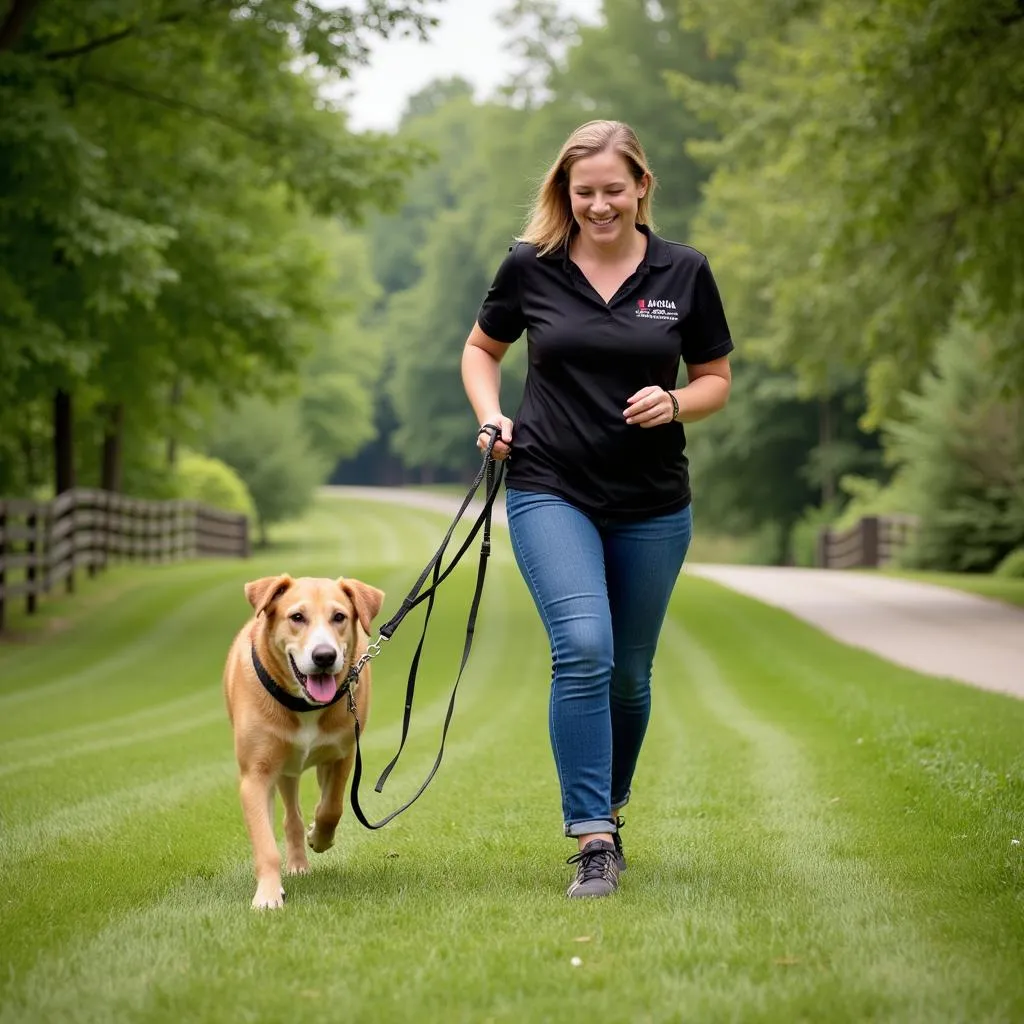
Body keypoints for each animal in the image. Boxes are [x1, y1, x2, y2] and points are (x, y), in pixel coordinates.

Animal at [223, 573, 385, 909]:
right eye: (297, 617)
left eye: (339, 617)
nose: (324, 656)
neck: (304, 705)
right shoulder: (256, 773)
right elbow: (265, 842)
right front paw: (268, 895)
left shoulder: (342, 754)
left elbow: (331, 807)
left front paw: (319, 837)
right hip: (283, 768)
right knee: (289, 817)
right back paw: (296, 862)